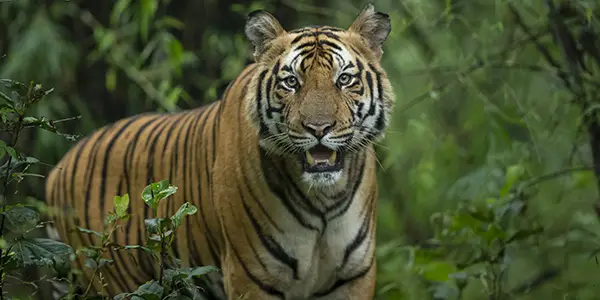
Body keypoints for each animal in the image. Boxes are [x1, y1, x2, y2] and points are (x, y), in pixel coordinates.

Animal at [45, 3, 394, 298]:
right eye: (292, 82)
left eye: (344, 79)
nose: (318, 128)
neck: (323, 199)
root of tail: (59, 168)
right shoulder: (251, 276)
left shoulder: (354, 276)